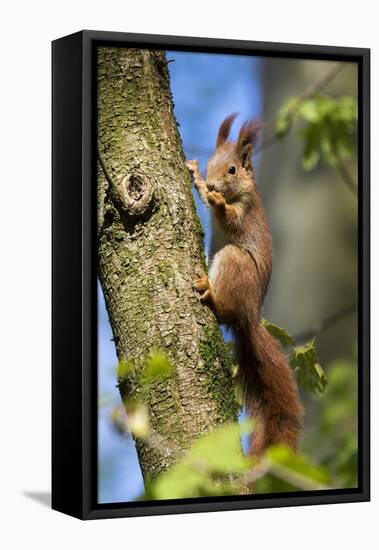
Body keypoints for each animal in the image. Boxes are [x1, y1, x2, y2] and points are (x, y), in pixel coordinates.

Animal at [186, 113, 304, 458]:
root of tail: (249, 315)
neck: (237, 194)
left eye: (233, 170)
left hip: (233, 261)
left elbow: (231, 217)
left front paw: (217, 201)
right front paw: (197, 177)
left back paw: (211, 292)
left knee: (224, 309)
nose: (214, 184)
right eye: (210, 163)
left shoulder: (246, 210)